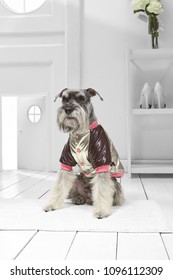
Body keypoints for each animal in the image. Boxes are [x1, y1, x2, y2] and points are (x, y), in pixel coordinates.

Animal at [43, 88, 124, 219]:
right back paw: (78, 198)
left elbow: (102, 190)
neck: (80, 132)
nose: (68, 109)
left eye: (81, 98)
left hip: (114, 183)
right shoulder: (65, 162)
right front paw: (51, 205)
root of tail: (88, 199)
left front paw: (101, 211)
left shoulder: (102, 162)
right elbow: (59, 186)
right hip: (76, 179)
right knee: (74, 193)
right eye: (64, 99)